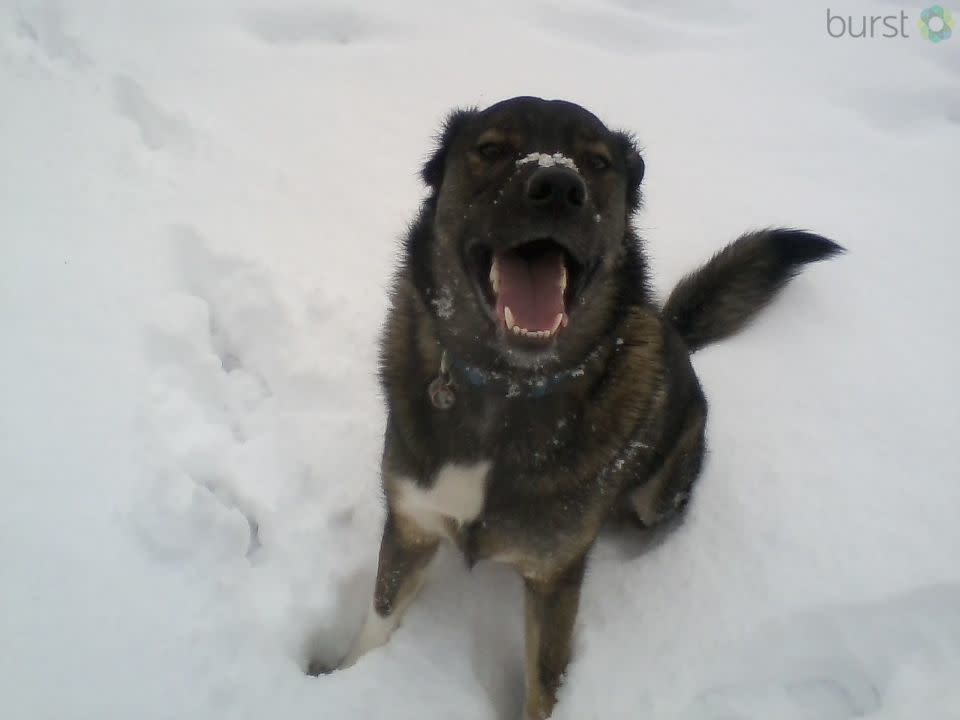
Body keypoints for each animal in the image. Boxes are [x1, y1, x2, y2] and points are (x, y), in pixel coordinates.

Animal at [314, 97, 840, 720]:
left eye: (598, 163)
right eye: (491, 148)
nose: (559, 186)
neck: (509, 385)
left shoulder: (554, 577)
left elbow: (545, 684)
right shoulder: (412, 524)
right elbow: (379, 616)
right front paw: (342, 677)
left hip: (660, 488)